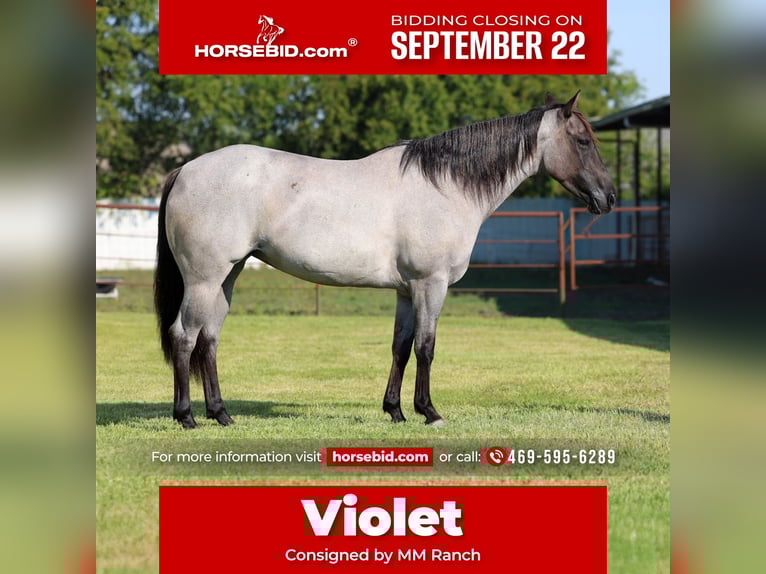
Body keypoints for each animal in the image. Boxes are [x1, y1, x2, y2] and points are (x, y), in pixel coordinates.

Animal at [154, 91, 615, 429]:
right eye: (583, 141)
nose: (608, 198)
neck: (445, 186)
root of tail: (185, 170)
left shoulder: (407, 291)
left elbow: (401, 346)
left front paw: (395, 410)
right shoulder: (431, 284)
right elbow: (427, 347)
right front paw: (429, 412)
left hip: (226, 277)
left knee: (209, 340)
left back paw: (221, 414)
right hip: (204, 278)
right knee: (184, 336)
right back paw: (187, 417)